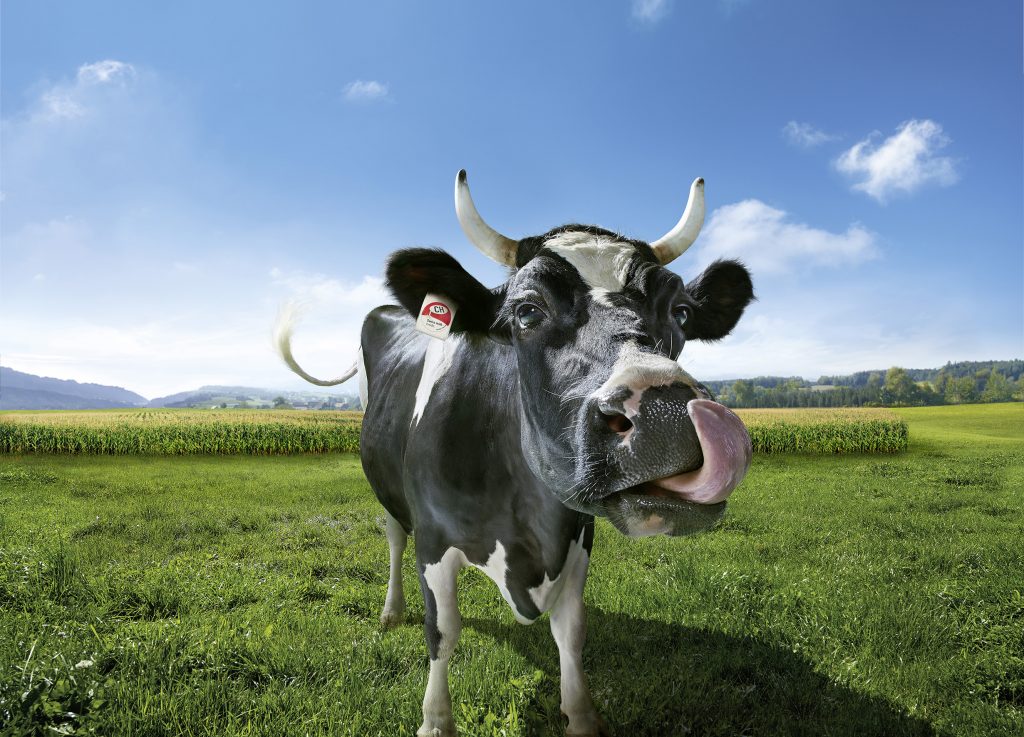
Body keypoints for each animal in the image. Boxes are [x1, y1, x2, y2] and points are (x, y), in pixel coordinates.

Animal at [275, 170, 755, 737]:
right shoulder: (434, 539)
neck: (525, 523)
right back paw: (392, 611)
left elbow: (571, 631)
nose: (668, 417)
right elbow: (443, 631)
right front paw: (435, 719)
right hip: (387, 487)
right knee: (394, 535)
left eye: (680, 311)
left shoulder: (577, 533)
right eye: (527, 311)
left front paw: (580, 714)